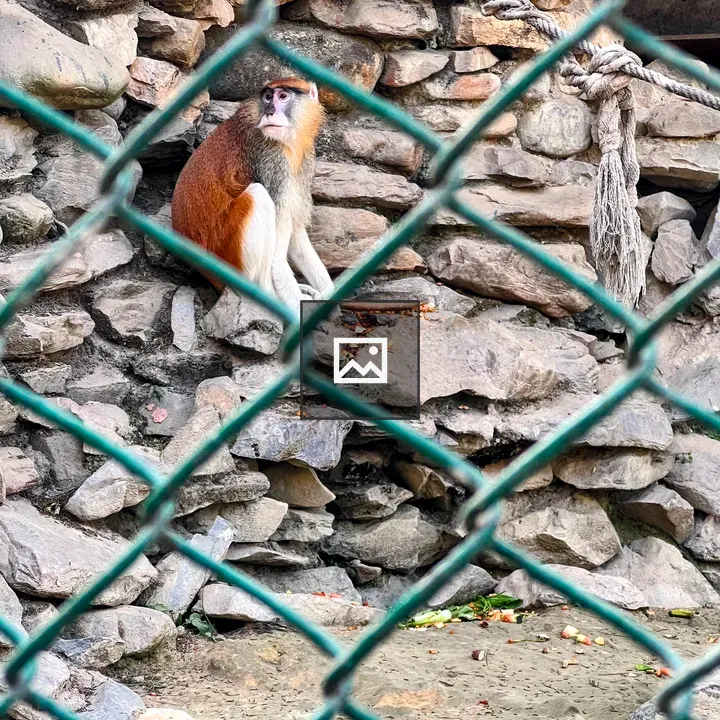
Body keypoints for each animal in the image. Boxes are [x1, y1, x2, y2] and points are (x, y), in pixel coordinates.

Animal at [171, 77, 335, 316]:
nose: (269, 112)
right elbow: (277, 258)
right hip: (230, 255)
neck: (288, 142)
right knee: (258, 195)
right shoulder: (272, 161)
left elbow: (296, 233)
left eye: (283, 96)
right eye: (267, 97)